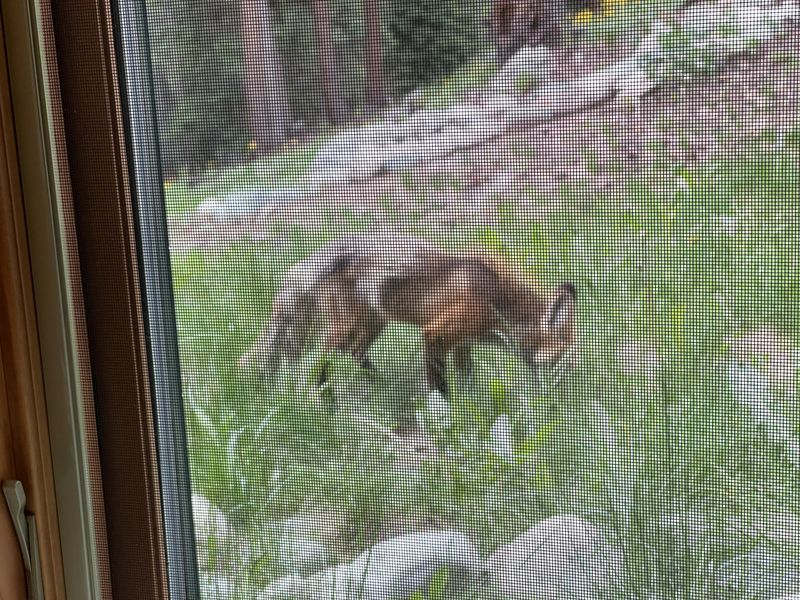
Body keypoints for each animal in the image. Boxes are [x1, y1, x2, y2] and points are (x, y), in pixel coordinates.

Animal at [238, 233, 577, 397]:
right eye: (561, 365)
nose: (563, 401)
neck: (496, 302)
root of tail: (307, 262)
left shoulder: (462, 343)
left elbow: (467, 381)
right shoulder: (437, 333)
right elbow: (440, 387)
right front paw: (446, 414)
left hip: (374, 323)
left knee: (356, 353)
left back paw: (380, 385)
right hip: (343, 330)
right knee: (314, 365)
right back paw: (323, 401)